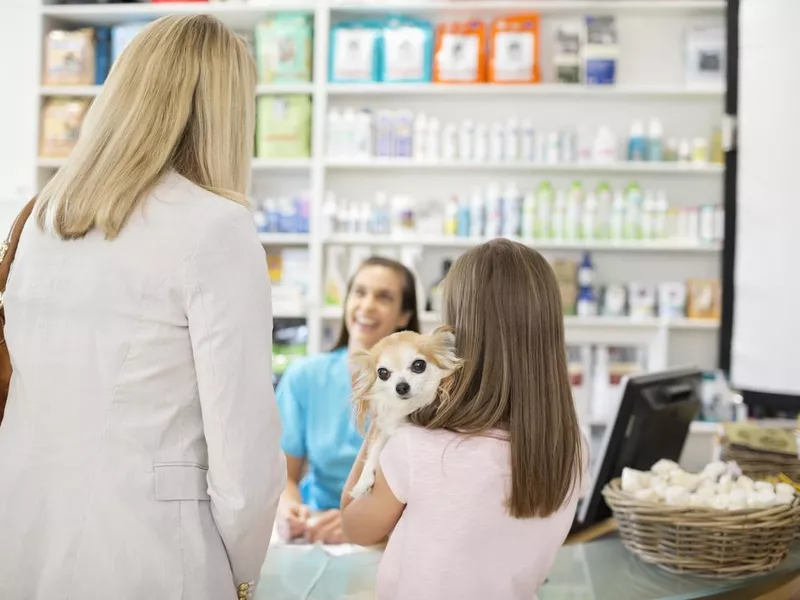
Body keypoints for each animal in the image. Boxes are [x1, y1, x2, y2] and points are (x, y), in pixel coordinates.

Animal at [348, 326, 462, 500]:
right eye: (383, 373)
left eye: (418, 365)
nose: (401, 386)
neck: (407, 406)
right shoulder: (384, 429)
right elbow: (375, 449)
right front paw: (362, 482)